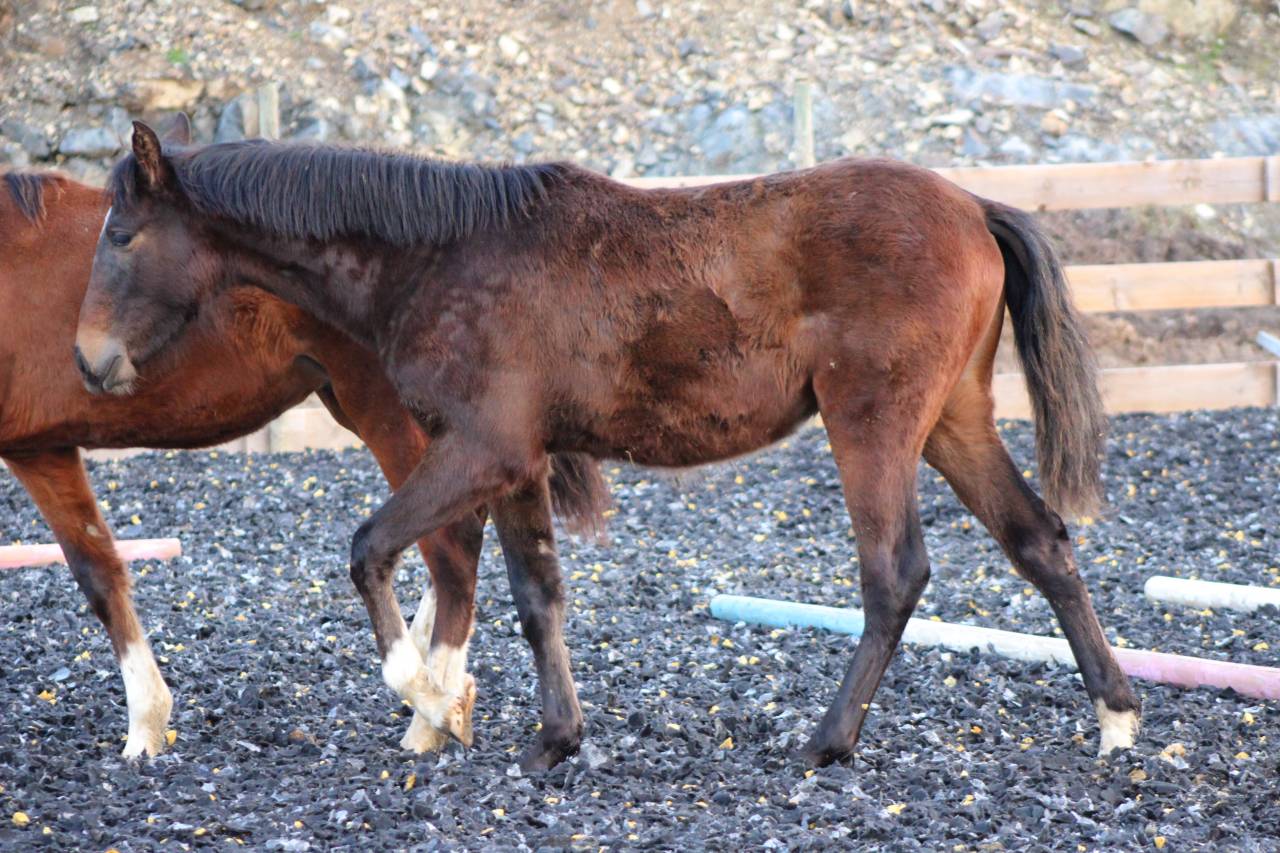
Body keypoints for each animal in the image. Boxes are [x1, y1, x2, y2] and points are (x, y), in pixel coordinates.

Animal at [1, 159, 607, 762]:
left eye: (123, 240)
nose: (88, 363)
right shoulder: (38, 448)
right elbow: (97, 569)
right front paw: (147, 724)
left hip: (385, 411)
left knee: (451, 541)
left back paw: (430, 712)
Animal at [75, 120, 1142, 770]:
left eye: (123, 235)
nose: (89, 361)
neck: (438, 257)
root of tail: (971, 208)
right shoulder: (520, 463)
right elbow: (536, 594)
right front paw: (554, 737)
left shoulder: (481, 450)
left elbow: (370, 548)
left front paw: (430, 700)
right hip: (952, 420)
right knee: (1040, 542)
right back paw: (1118, 715)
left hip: (872, 424)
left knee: (895, 574)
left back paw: (825, 742)